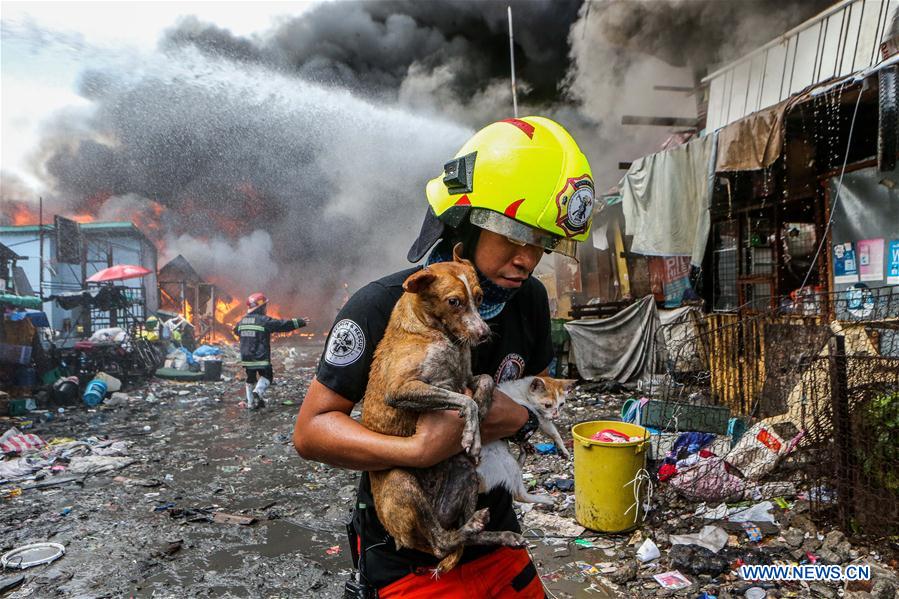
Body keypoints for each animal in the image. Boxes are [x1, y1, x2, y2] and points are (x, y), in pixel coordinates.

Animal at [360, 245, 524, 576]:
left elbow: (485, 381)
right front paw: (472, 433)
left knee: (459, 539)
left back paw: (496, 533)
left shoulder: (466, 377)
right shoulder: (402, 389)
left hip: (466, 474)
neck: (437, 333)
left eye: (480, 297)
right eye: (453, 302)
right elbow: (463, 400)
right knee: (440, 544)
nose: (484, 334)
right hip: (402, 480)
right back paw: (470, 525)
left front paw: (484, 409)